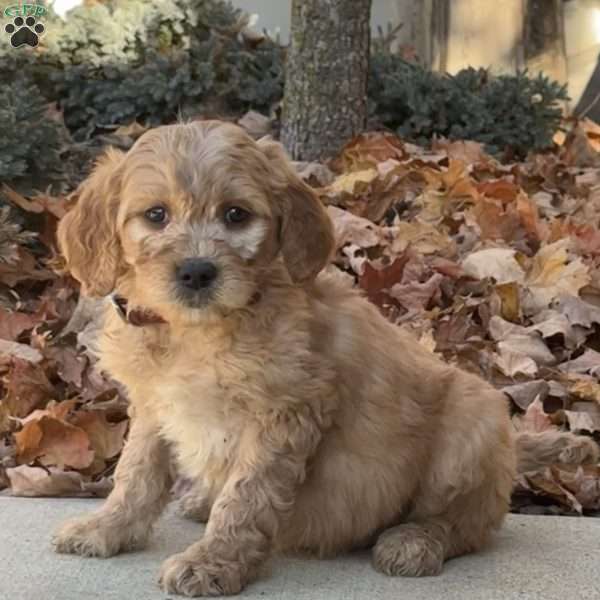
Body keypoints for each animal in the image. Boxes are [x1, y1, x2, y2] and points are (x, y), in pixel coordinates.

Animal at [50, 120, 592, 596]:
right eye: (156, 215)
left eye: (236, 215)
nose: (197, 272)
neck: (193, 332)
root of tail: (511, 449)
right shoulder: (154, 406)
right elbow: (136, 474)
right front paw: (106, 527)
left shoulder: (285, 413)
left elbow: (245, 497)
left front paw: (213, 562)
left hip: (470, 420)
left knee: (469, 524)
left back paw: (415, 541)